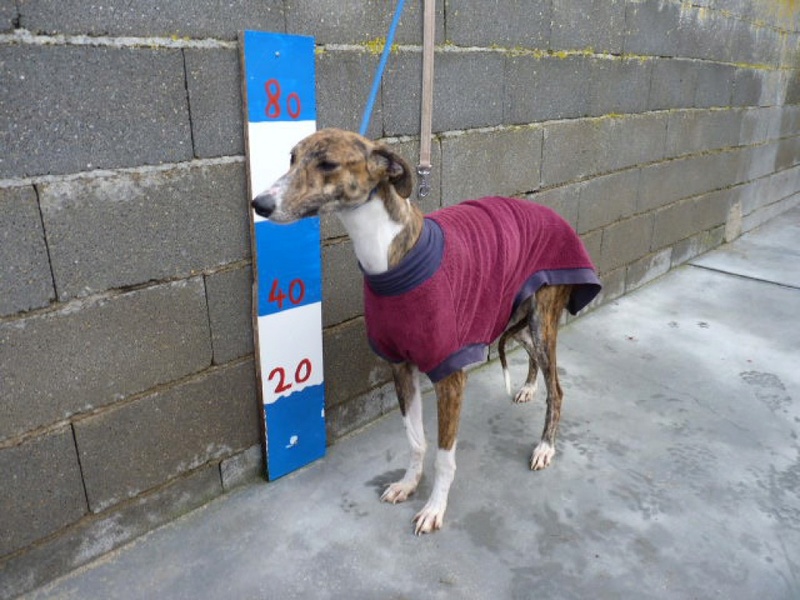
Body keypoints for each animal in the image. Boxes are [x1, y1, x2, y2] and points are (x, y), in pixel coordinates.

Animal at [252, 126, 600, 536]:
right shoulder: (400, 366)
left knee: (557, 389)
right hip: (526, 318)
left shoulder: (449, 375)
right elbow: (415, 440)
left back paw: (545, 446)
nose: (259, 204)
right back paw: (529, 387)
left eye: (327, 164)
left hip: (542, 319)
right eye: (291, 158)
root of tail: (553, 212)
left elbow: (444, 457)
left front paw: (435, 507)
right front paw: (408, 484)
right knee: (531, 354)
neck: (387, 256)